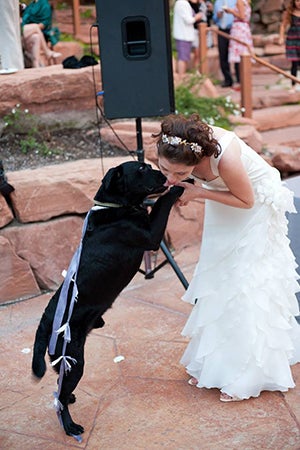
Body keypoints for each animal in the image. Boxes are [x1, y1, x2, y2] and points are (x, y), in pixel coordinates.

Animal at [32, 162, 183, 440]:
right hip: (74, 361)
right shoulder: (151, 235)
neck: (117, 207)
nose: (164, 174)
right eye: (142, 168)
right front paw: (182, 184)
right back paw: (70, 426)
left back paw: (70, 400)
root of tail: (46, 322)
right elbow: (162, 201)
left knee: (60, 389)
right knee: (59, 398)